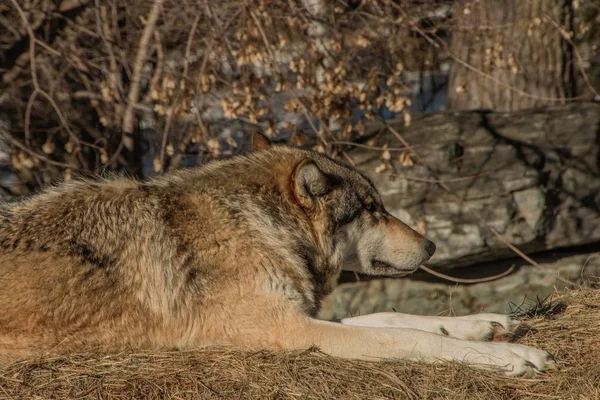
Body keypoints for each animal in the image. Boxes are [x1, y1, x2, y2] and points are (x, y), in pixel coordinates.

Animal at [0, 133, 556, 376]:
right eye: (371, 210)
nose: (433, 244)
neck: (256, 225)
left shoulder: (296, 313)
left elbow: (394, 316)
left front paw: (482, 324)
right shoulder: (291, 330)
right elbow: (406, 337)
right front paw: (510, 357)